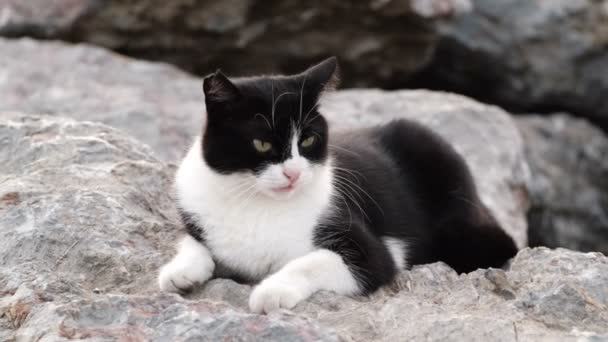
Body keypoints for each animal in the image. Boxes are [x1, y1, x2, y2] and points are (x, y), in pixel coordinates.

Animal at [158, 57, 516, 314]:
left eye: (308, 139)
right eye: (261, 144)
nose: (293, 173)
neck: (256, 202)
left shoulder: (373, 251)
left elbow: (314, 261)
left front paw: (272, 290)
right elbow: (190, 239)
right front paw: (178, 272)